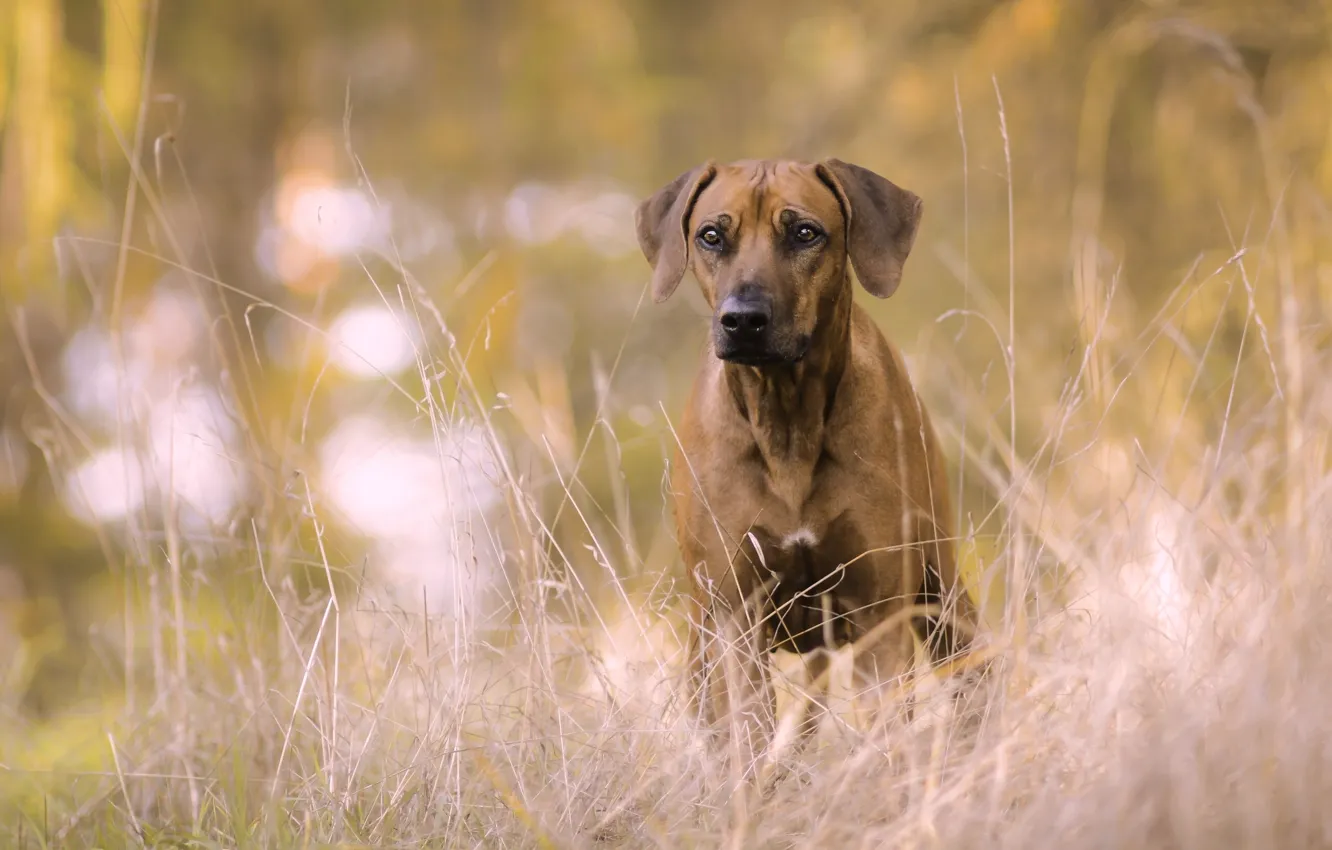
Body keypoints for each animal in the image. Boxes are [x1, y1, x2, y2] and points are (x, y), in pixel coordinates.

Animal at [634, 159, 980, 767]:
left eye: (804, 233)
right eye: (711, 236)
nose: (743, 320)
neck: (787, 420)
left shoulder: (879, 611)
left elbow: (886, 730)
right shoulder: (736, 618)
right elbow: (746, 735)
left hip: (942, 593)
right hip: (702, 641)